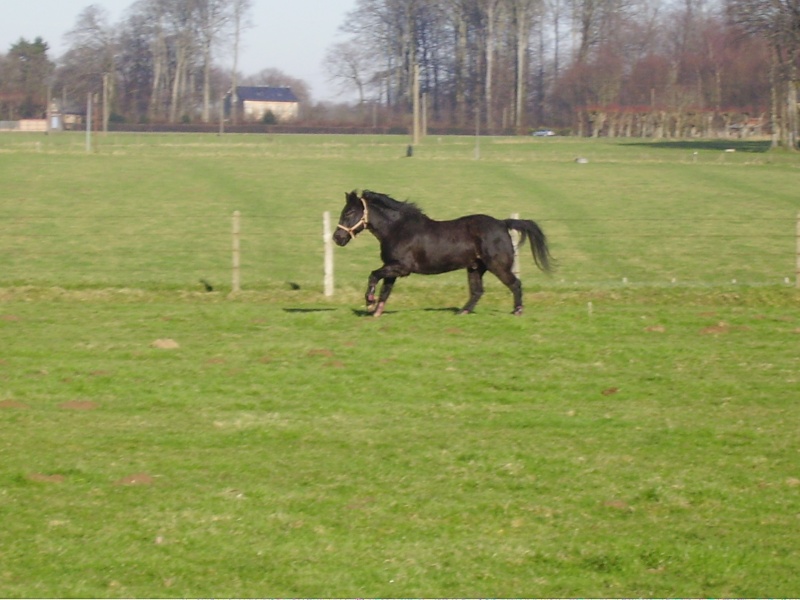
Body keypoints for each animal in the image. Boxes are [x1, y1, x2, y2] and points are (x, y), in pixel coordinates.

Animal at [334, 192, 552, 316]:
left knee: (515, 284)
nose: (337, 237)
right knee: (477, 291)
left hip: (497, 266)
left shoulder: (402, 268)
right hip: (475, 268)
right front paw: (375, 311)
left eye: (349, 212)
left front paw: (369, 302)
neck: (397, 229)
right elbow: (385, 290)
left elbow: (373, 275)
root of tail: (502, 223)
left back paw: (517, 311)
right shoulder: (392, 267)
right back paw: (463, 312)